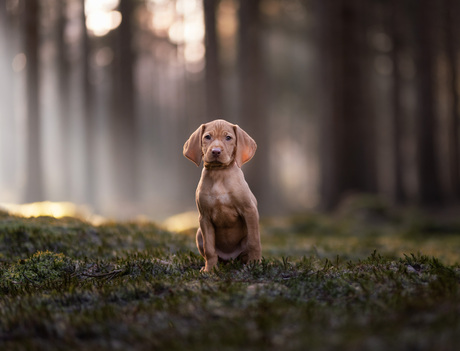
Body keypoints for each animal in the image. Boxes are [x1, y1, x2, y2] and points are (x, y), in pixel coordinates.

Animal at [183, 119, 262, 272]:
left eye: (228, 138)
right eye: (207, 137)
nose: (215, 151)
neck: (219, 173)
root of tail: (230, 259)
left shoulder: (249, 211)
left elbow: (254, 242)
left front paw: (255, 264)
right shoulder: (204, 218)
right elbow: (209, 249)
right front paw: (209, 270)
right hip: (199, 233)